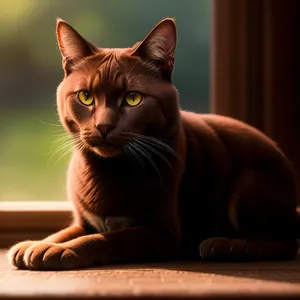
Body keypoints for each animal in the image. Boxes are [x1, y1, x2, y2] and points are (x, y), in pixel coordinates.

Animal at [7, 17, 300, 270]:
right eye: (86, 97)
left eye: (133, 98)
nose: (104, 126)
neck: (106, 170)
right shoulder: (84, 221)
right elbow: (64, 232)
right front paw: (36, 245)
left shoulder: (162, 233)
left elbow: (105, 238)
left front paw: (61, 250)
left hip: (248, 187)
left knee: (285, 242)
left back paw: (227, 246)